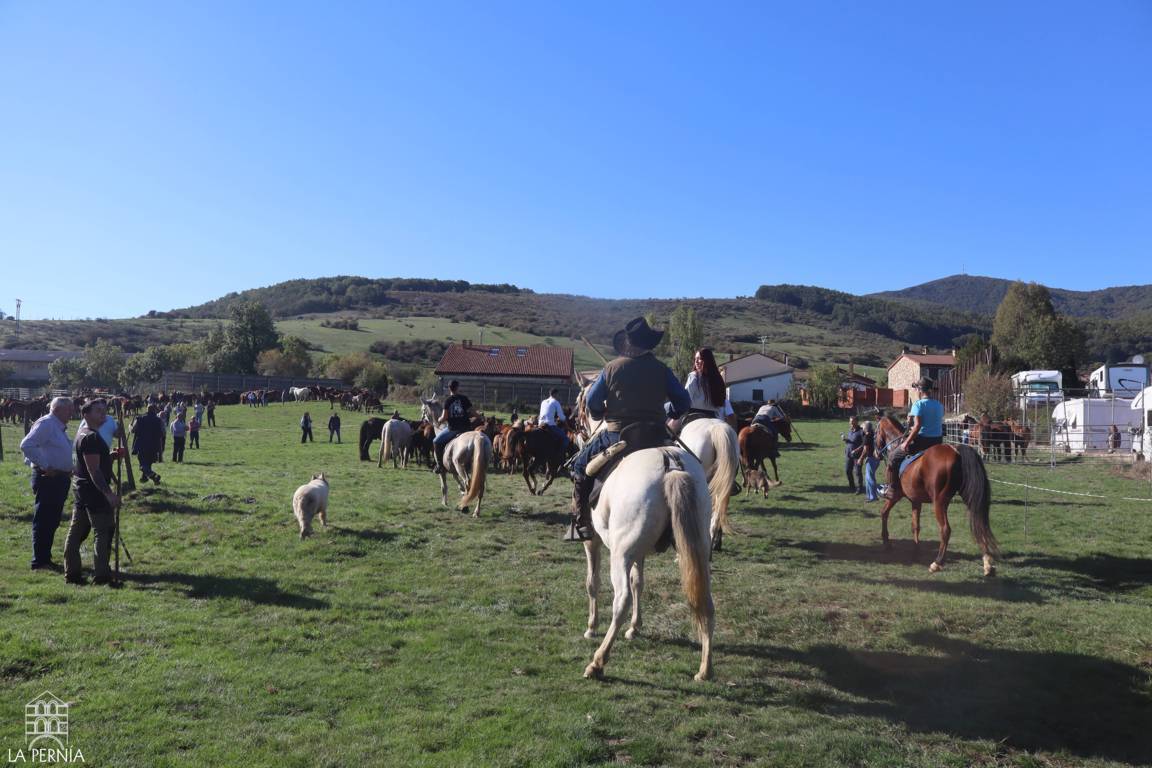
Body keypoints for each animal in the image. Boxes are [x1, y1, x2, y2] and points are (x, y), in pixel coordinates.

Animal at [874, 414, 998, 576]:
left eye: (875, 432)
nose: (875, 453)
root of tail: (956, 451)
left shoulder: (896, 496)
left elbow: (884, 513)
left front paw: (886, 542)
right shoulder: (916, 501)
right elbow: (915, 526)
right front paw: (916, 551)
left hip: (939, 502)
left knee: (945, 529)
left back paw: (937, 563)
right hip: (968, 498)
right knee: (979, 524)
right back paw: (987, 564)